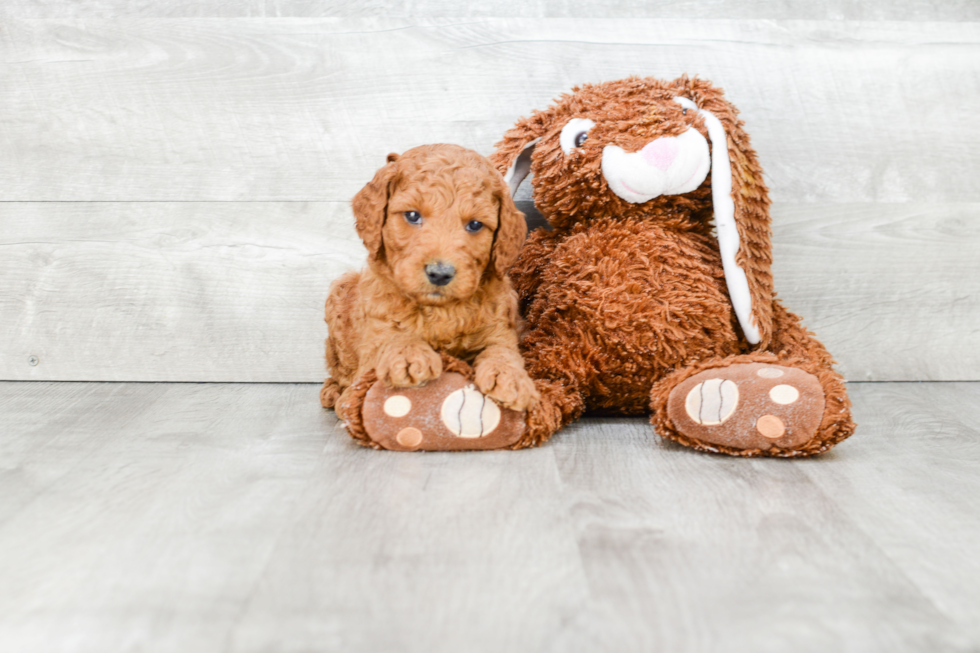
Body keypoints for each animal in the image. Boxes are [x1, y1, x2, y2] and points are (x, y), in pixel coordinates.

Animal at [320, 145, 536, 444]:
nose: (440, 273)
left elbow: (502, 350)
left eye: (475, 225)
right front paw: (408, 354)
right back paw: (334, 393)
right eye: (412, 216)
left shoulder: (500, 326)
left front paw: (510, 377)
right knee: (340, 371)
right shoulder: (374, 334)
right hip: (340, 294)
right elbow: (391, 334)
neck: (440, 310)